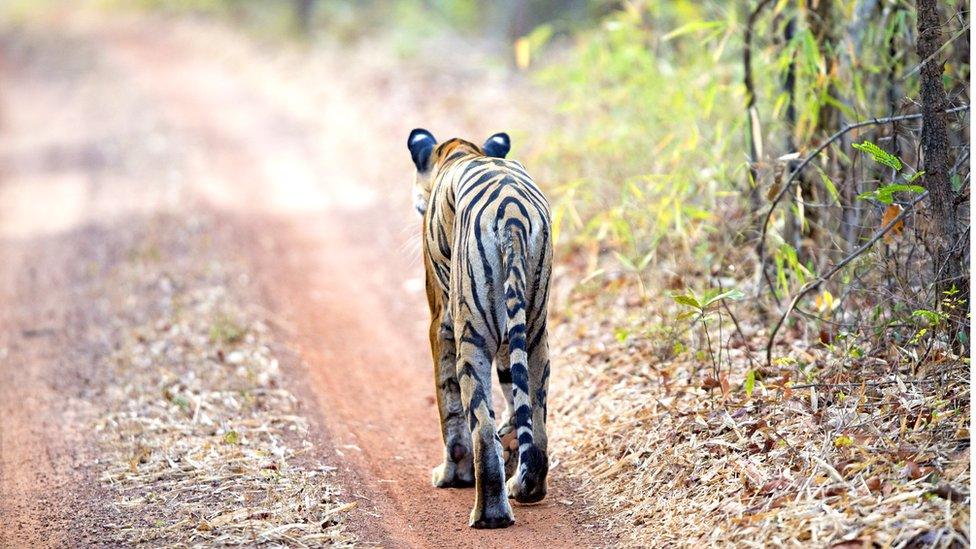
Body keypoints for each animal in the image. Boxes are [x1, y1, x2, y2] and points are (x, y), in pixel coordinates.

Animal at [408, 127, 552, 528]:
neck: (460, 151)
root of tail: (513, 213)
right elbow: (514, 396)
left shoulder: (439, 322)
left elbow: (449, 405)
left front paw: (451, 475)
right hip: (534, 331)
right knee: (538, 425)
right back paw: (525, 487)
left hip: (471, 335)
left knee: (480, 427)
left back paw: (490, 514)